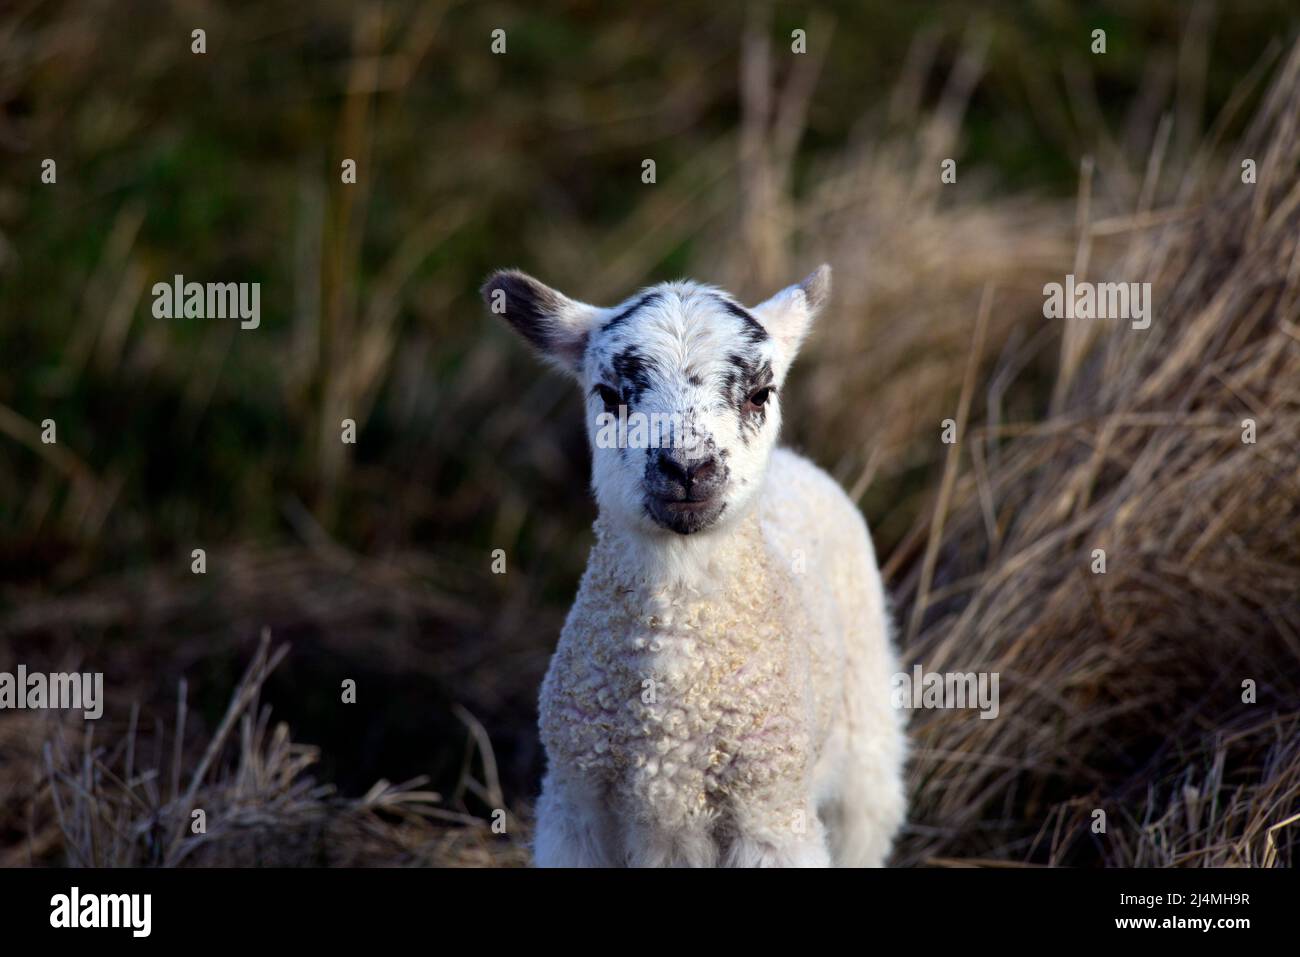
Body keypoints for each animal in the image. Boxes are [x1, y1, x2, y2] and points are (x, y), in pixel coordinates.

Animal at [483, 263, 909, 868]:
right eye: (608, 394)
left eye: (760, 392)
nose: (687, 467)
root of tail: (794, 460)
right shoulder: (574, 808)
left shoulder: (772, 811)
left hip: (865, 743)